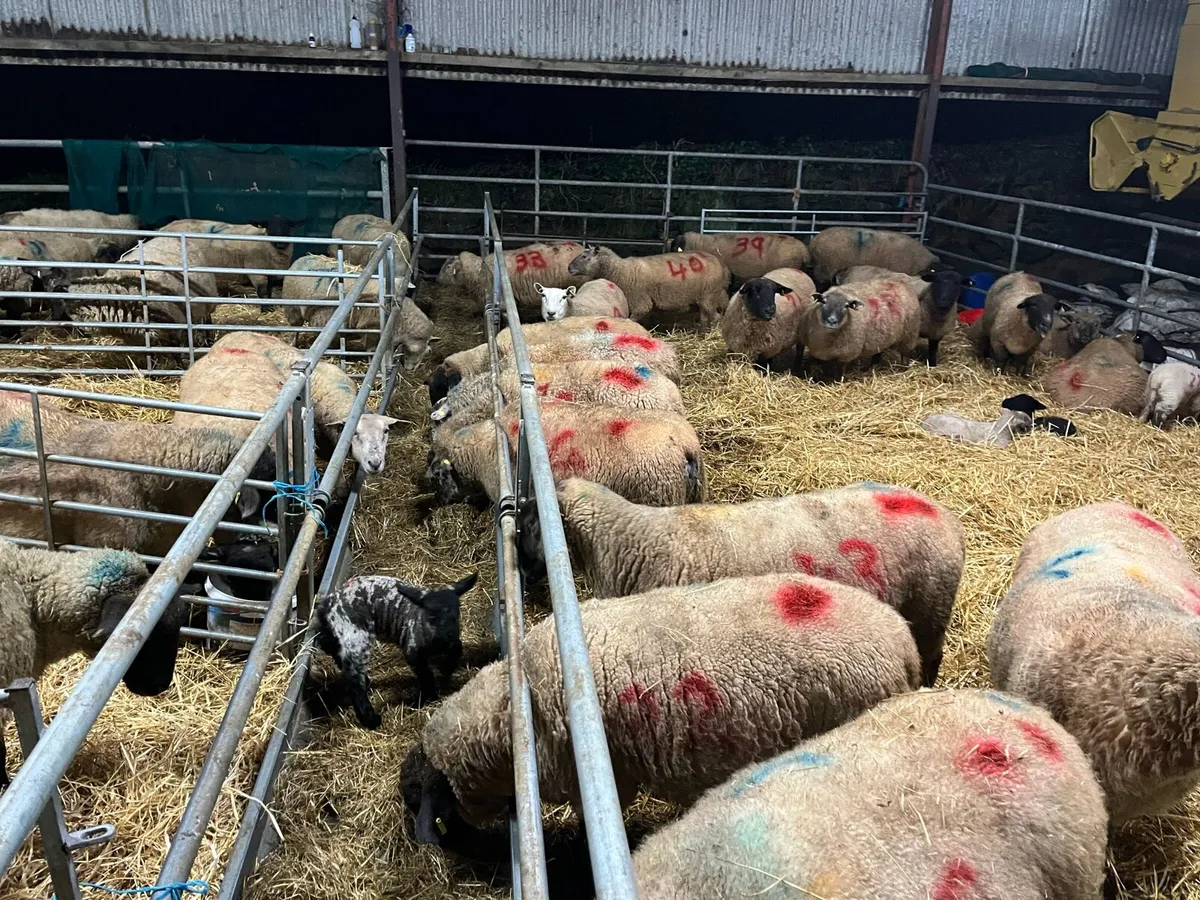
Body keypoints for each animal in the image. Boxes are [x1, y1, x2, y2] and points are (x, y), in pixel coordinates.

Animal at [315, 572, 477, 729]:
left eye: (456, 616)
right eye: (431, 617)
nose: (447, 636)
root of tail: (330, 603)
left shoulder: (452, 644)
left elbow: (455, 653)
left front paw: (446, 674)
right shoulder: (412, 650)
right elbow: (426, 676)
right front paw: (428, 698)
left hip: (334, 637)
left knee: (337, 656)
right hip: (356, 636)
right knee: (353, 680)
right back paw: (370, 719)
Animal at [518, 478, 963, 686]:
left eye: (530, 523)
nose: (522, 575)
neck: (629, 539)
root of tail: (944, 514)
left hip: (930, 612)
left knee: (932, 659)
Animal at [567, 244, 731, 328]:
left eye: (585, 257)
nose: (569, 268)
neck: (622, 271)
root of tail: (721, 264)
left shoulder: (639, 300)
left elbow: (635, 317)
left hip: (709, 295)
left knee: (715, 317)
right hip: (703, 297)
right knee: (704, 317)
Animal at [838, 265, 973, 366]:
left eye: (958, 283)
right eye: (936, 281)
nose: (943, 300)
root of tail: (851, 268)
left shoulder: (936, 334)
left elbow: (933, 353)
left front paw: (932, 366)